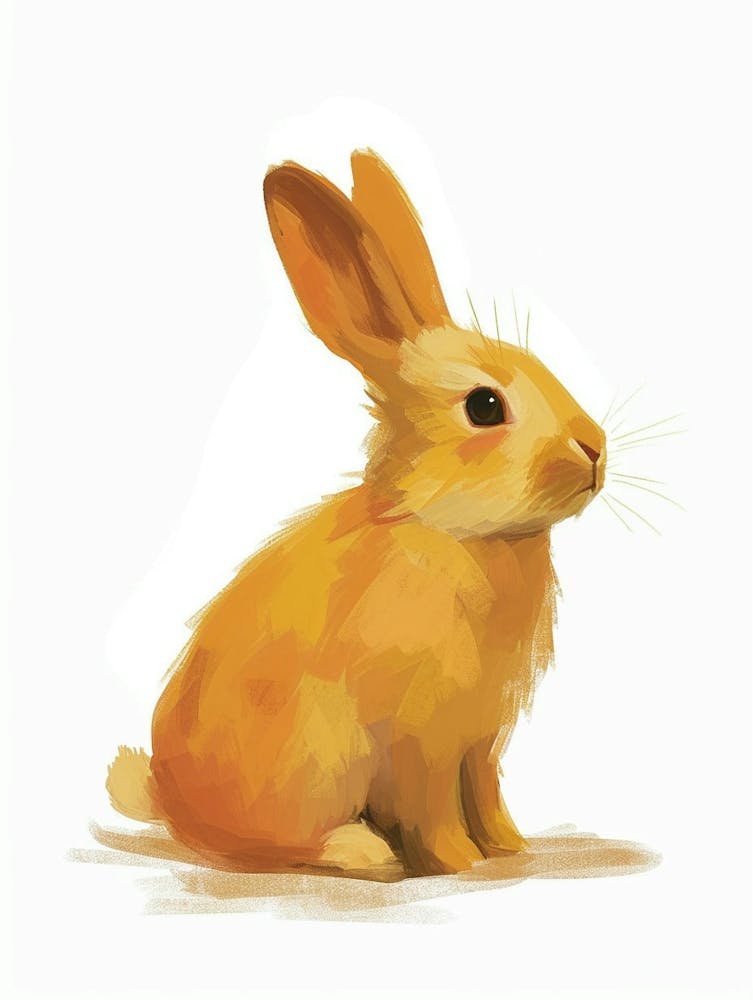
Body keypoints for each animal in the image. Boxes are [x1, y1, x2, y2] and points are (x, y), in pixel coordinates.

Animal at [107, 148, 606, 880]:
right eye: (484, 407)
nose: (595, 450)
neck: (447, 528)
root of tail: (173, 807)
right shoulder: (423, 742)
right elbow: (437, 807)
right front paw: (460, 863)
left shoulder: (481, 740)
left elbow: (486, 794)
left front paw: (509, 848)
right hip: (313, 764)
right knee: (276, 846)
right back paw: (365, 851)